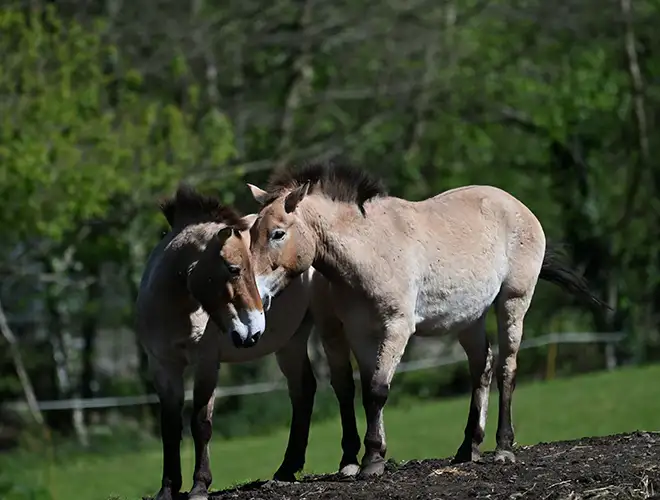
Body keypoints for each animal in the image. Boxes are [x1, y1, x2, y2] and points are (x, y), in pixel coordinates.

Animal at [136, 183, 322, 500]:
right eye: (234, 268)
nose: (253, 330)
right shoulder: (162, 366)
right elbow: (170, 427)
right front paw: (168, 489)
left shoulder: (206, 364)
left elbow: (200, 423)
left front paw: (200, 486)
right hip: (291, 342)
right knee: (303, 390)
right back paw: (287, 469)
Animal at [243, 160, 610, 478]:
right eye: (251, 234)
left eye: (277, 234)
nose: (256, 295)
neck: (369, 249)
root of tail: (519, 207)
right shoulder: (360, 333)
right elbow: (366, 390)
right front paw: (373, 455)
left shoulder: (396, 328)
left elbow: (377, 390)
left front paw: (372, 460)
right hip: (470, 318)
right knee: (482, 367)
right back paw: (468, 447)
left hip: (513, 302)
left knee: (507, 368)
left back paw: (504, 448)